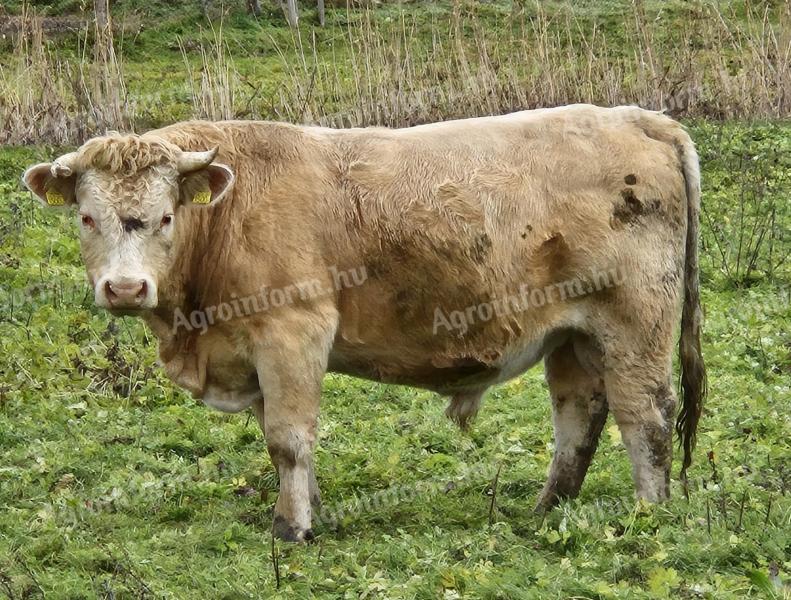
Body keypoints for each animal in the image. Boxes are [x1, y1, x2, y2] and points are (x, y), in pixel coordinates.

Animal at [23, 105, 704, 540]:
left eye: (165, 216)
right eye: (86, 216)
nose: (125, 288)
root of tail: (641, 117)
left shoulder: (292, 332)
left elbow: (288, 437)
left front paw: (291, 528)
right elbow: (282, 440)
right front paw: (312, 510)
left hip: (634, 317)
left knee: (646, 412)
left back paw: (647, 514)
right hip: (573, 332)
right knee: (579, 414)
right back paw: (546, 510)